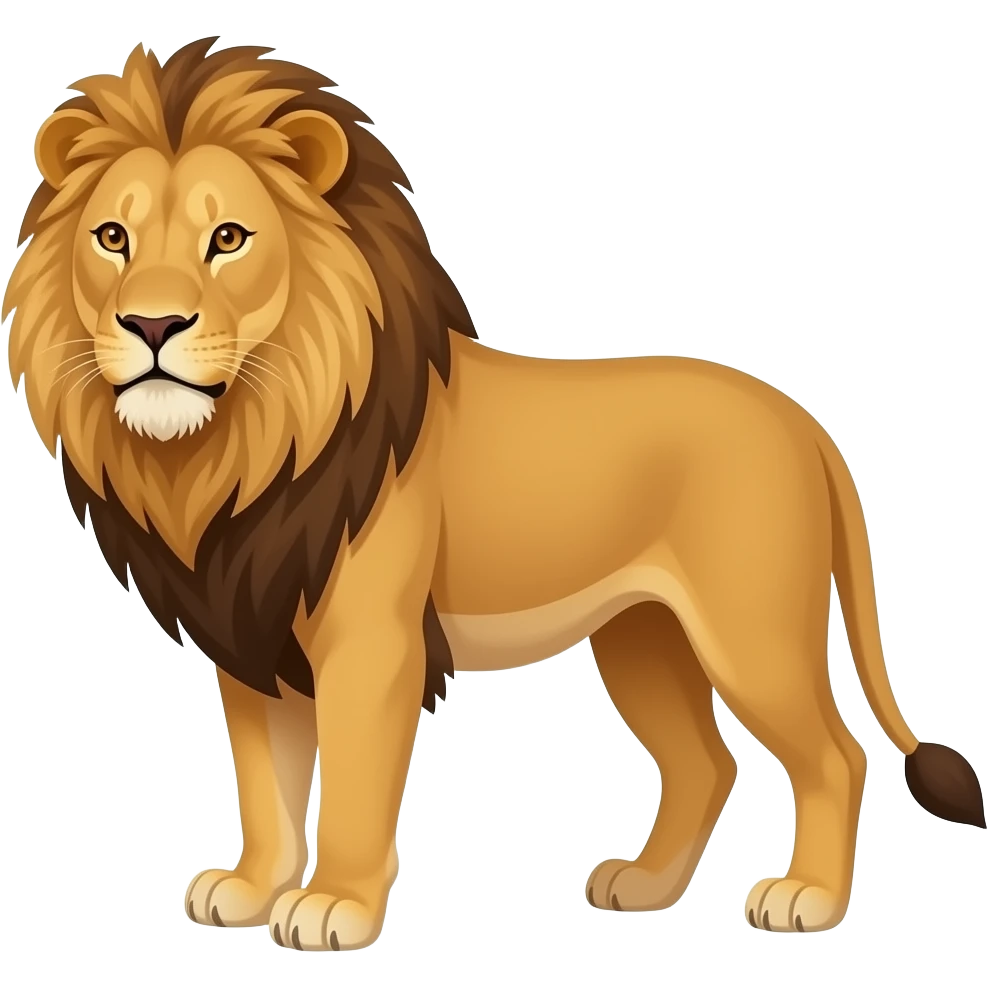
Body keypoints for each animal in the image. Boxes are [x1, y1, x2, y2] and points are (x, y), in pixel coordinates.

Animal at [4, 37, 984, 951]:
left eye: (229, 239)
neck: (237, 447)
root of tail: (806, 424)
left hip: (752, 632)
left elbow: (353, 784)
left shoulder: (372, 644)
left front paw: (334, 907)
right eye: (113, 238)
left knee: (835, 757)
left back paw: (806, 899)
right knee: (708, 764)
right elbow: (267, 784)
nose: (153, 324)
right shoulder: (252, 637)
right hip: (642, 636)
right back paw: (645, 887)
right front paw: (249, 890)